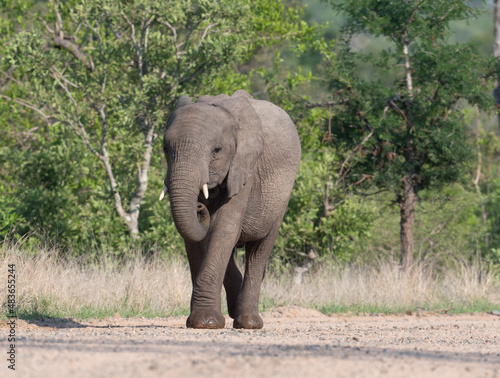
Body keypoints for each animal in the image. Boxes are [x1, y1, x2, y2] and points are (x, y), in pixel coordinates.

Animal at [159, 90, 300, 330]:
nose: (200, 207)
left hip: (282, 197)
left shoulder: (245, 167)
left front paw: (205, 323)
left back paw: (248, 322)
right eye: (165, 149)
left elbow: (223, 229)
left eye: (216, 150)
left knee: (259, 251)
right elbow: (196, 239)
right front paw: (201, 322)